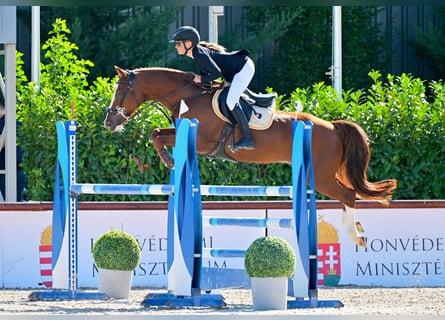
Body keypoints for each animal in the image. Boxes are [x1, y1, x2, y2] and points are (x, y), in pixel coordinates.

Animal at [104, 65, 396, 248]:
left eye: (120, 91)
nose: (109, 122)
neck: (189, 96)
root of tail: (333, 126)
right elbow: (156, 132)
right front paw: (165, 160)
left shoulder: (201, 141)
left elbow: (157, 135)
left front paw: (168, 160)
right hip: (323, 174)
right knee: (348, 193)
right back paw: (357, 230)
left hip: (321, 176)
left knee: (348, 194)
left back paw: (355, 235)